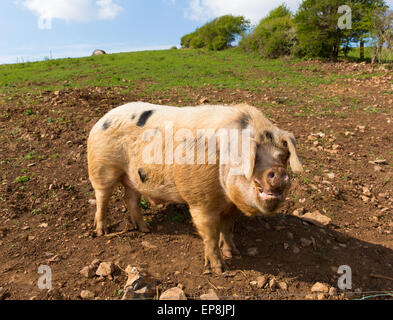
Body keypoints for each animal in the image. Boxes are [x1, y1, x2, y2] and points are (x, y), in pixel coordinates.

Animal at [88, 102, 304, 272]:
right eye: (253, 157)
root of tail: (103, 118)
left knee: (131, 198)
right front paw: (219, 269)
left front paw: (233, 253)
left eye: (282, 157)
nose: (278, 172)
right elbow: (210, 234)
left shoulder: (232, 207)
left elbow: (227, 228)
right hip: (102, 166)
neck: (224, 197)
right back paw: (101, 231)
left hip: (132, 177)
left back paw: (145, 229)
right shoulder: (201, 201)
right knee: (102, 197)